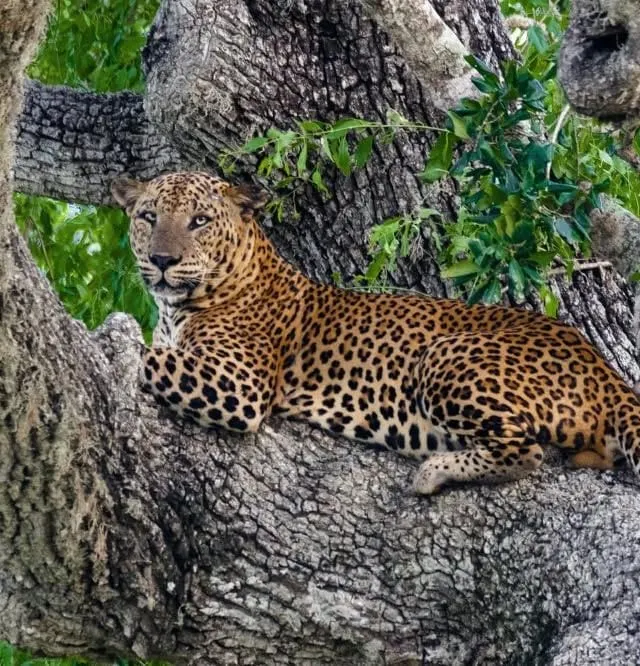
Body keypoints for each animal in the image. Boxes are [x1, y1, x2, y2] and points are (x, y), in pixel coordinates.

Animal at [111, 171, 640, 494]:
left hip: (443, 357)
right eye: (148, 217)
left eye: (199, 221)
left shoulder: (239, 386)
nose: (162, 260)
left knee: (526, 451)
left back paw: (434, 472)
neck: (175, 309)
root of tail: (604, 370)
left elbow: (151, 357)